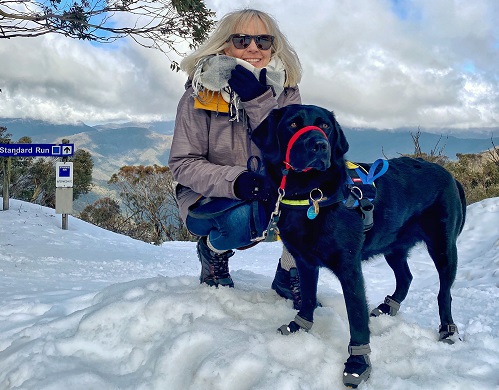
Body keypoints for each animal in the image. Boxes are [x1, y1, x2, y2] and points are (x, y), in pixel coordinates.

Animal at [252, 103, 466, 386]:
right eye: (293, 124)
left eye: (326, 126)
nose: (320, 145)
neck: (310, 195)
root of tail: (450, 176)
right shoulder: (304, 261)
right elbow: (308, 297)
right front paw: (300, 326)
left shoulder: (349, 269)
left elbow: (357, 320)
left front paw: (358, 363)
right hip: (393, 246)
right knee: (406, 277)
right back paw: (388, 306)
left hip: (443, 248)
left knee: (445, 293)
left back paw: (447, 329)